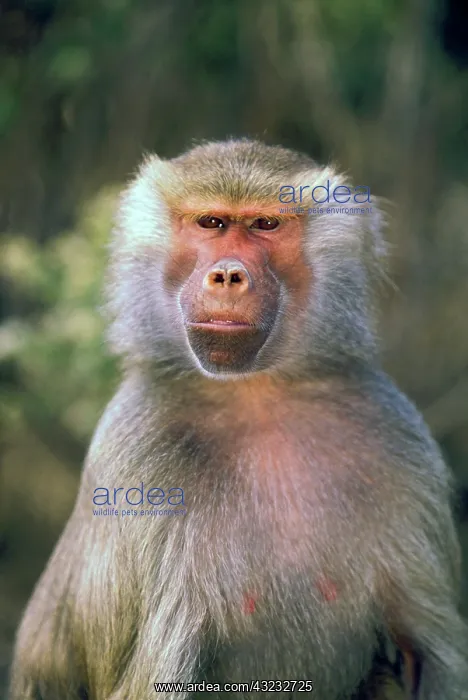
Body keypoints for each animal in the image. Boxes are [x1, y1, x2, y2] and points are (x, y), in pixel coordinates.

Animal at [9, 139, 468, 700]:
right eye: (211, 222)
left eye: (266, 224)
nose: (228, 275)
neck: (254, 393)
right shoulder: (137, 454)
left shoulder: (395, 433)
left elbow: (429, 655)